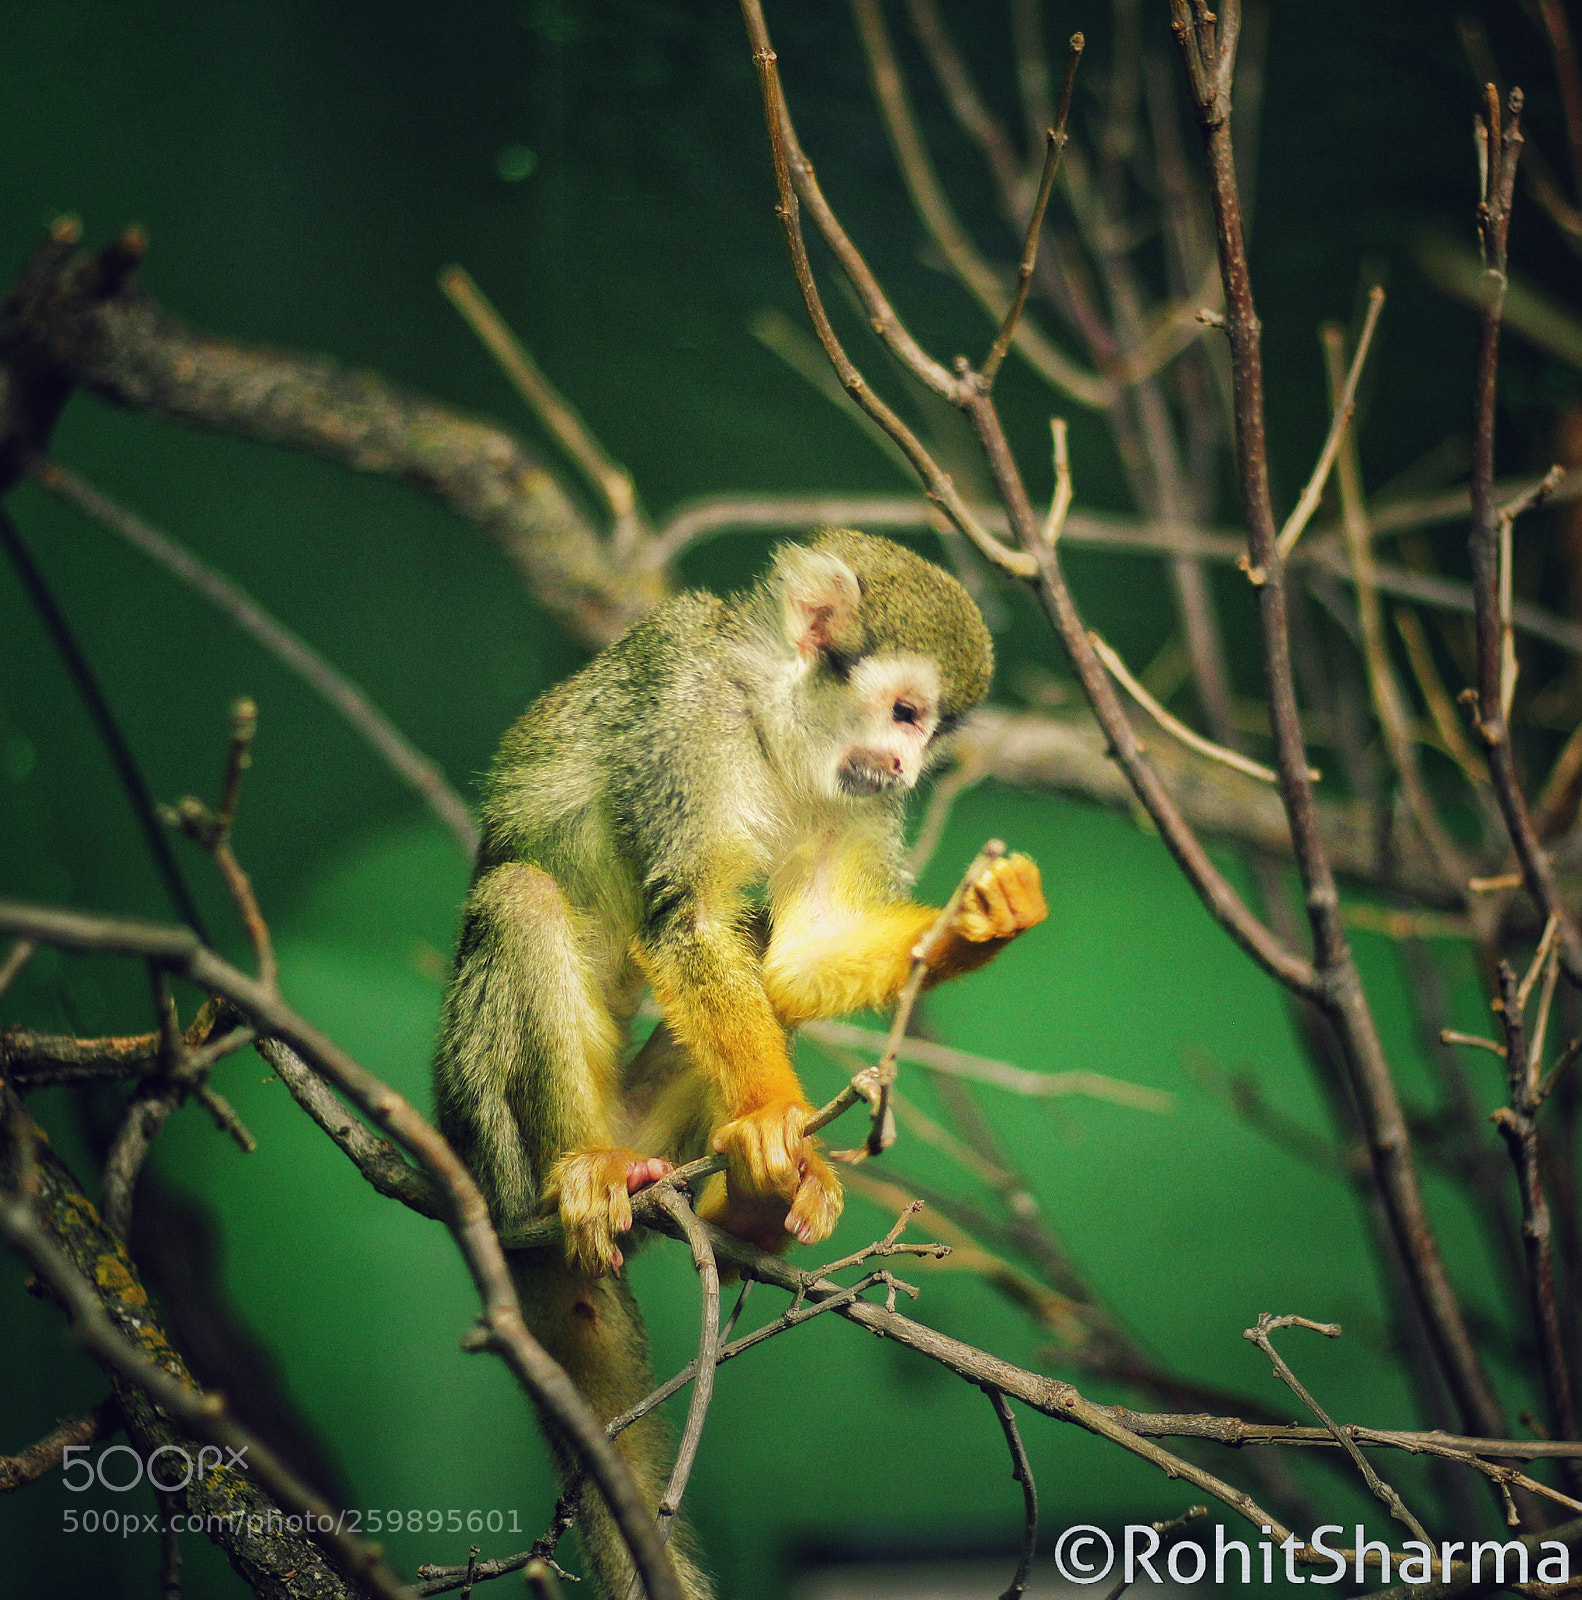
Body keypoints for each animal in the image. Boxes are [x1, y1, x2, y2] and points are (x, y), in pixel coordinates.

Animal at [432, 529, 1046, 1599]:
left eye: (928, 735)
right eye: (905, 713)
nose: (904, 764)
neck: (768, 725)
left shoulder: (850, 797)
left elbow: (791, 956)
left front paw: (978, 923)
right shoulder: (684, 724)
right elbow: (688, 921)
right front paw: (772, 1123)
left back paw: (740, 1210)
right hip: (483, 1120)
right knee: (523, 898)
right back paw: (583, 1177)